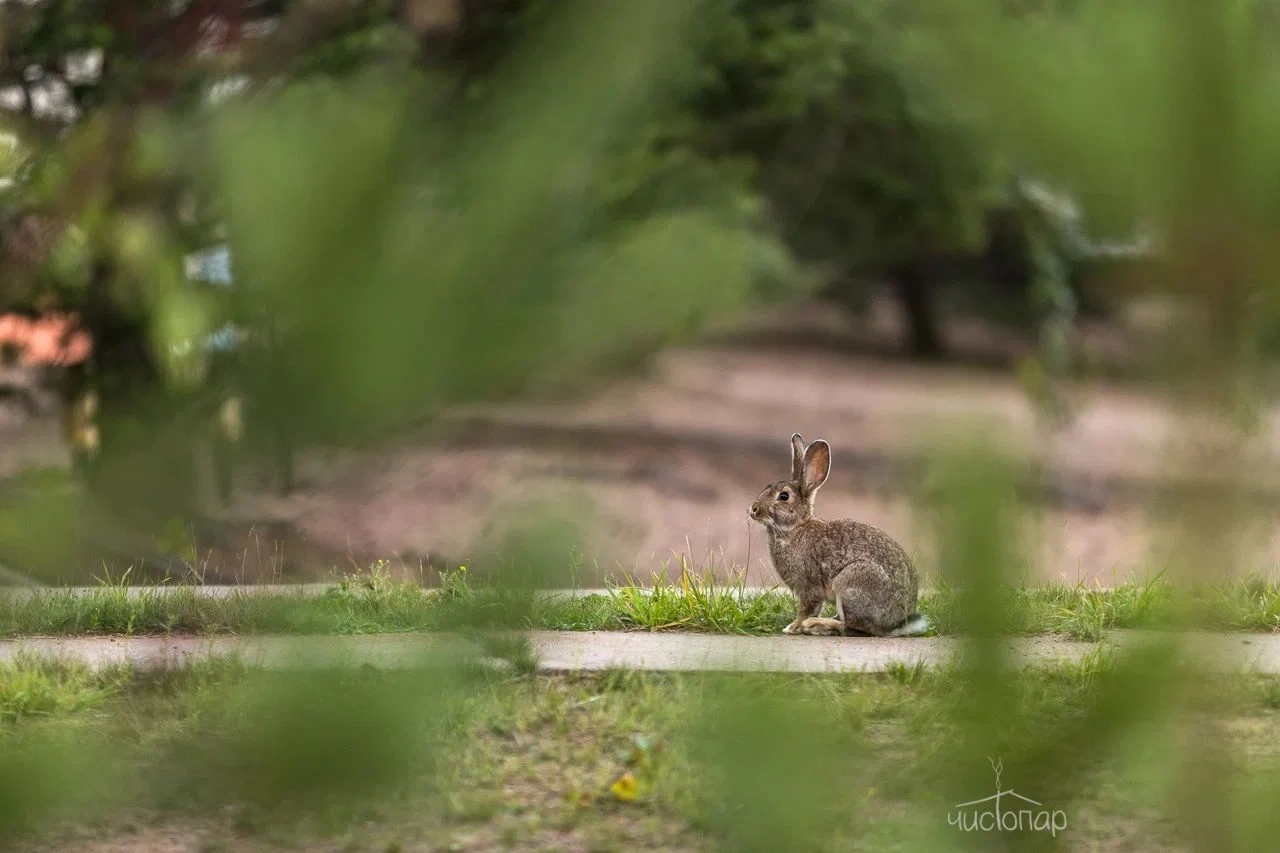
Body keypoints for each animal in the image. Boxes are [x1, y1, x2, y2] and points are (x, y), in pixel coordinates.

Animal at [742, 435, 931, 635]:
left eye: (784, 496)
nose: (754, 509)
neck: (795, 529)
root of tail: (895, 624)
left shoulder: (809, 588)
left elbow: (807, 609)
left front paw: (793, 627)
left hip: (850, 582)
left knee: (851, 625)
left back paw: (814, 625)